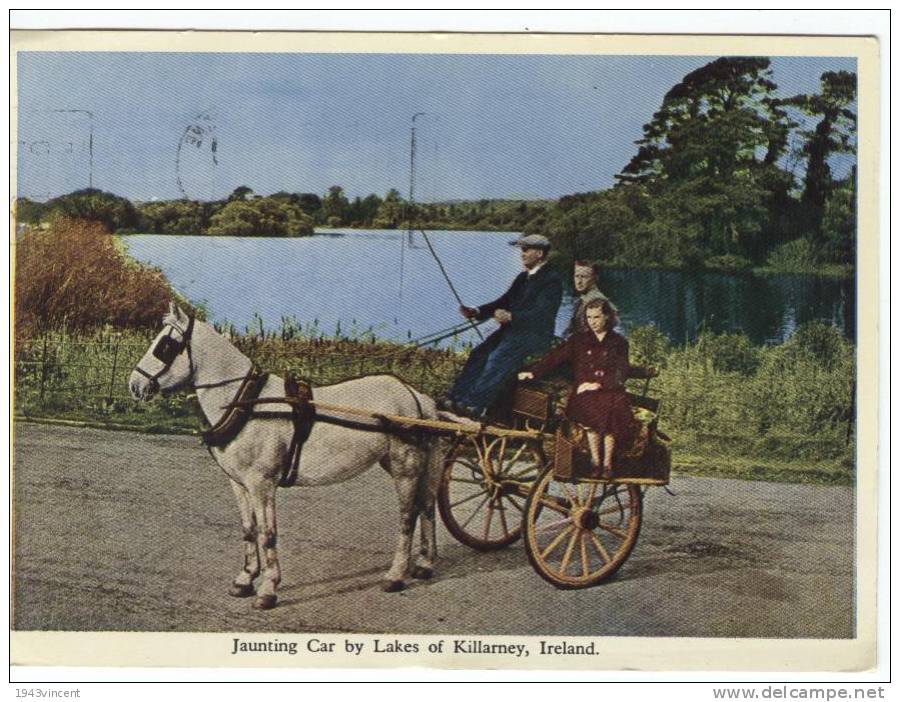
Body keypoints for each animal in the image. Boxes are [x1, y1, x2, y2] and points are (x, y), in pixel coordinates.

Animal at [128, 306, 444, 612]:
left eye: (165, 346)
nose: (134, 385)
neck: (247, 403)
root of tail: (416, 396)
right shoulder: (239, 484)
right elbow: (249, 529)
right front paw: (244, 580)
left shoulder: (262, 484)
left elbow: (267, 533)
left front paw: (268, 589)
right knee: (427, 507)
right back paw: (424, 565)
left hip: (405, 467)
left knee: (408, 516)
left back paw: (395, 576)